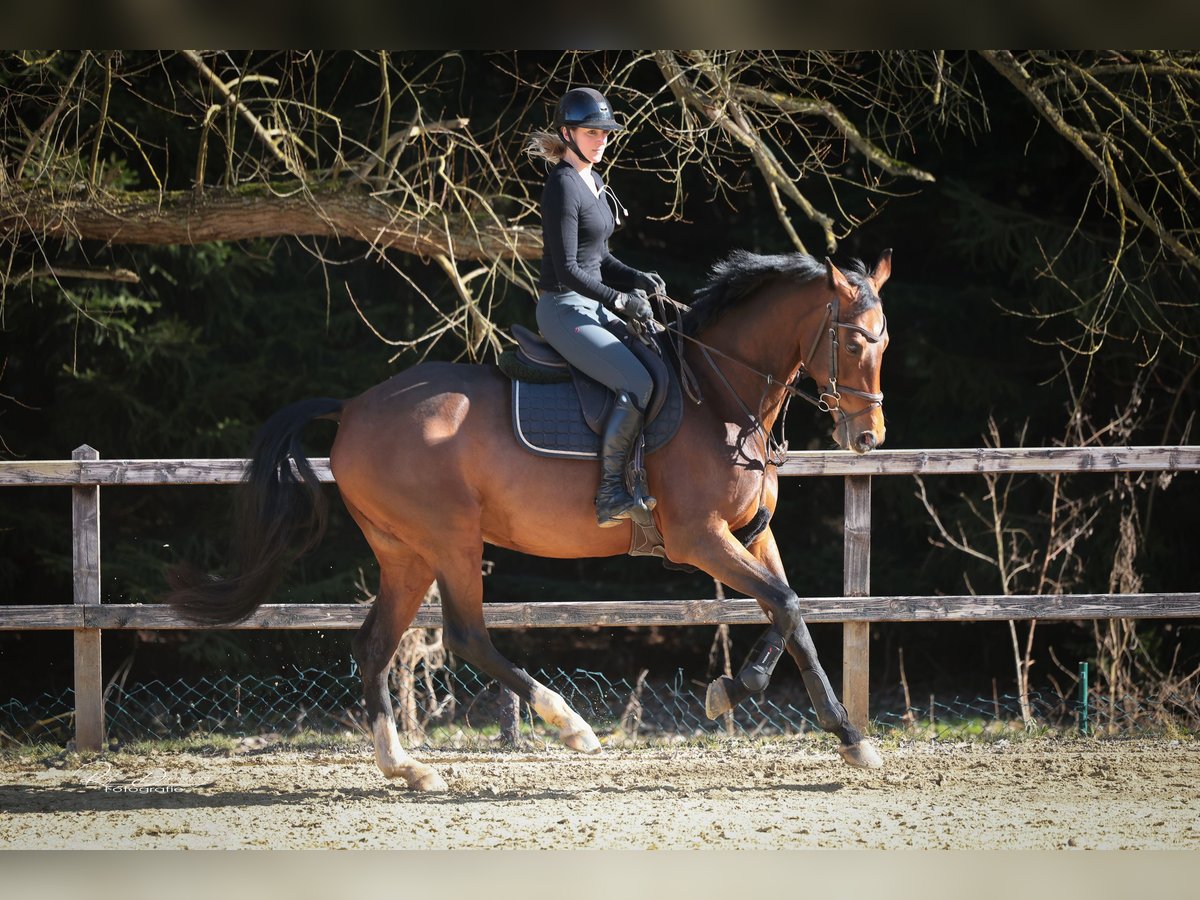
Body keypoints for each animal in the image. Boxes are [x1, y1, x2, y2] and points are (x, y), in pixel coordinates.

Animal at [169, 247, 892, 787]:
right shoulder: (700, 539)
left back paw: (406, 768)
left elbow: (791, 615)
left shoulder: (752, 534)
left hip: (405, 552)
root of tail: (353, 407)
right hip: (450, 540)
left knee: (375, 644)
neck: (716, 395)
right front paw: (754, 701)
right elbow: (788, 607)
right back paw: (568, 724)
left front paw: (832, 730)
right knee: (466, 636)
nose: (867, 438)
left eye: (884, 343)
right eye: (855, 342)